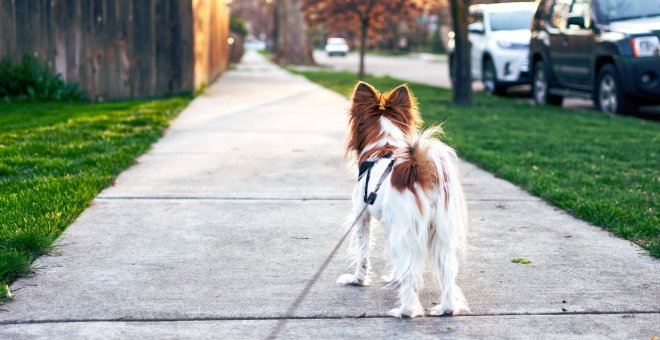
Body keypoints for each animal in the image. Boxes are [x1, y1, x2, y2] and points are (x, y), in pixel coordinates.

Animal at [338, 81, 472, 318]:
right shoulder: (395, 227)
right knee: (447, 272)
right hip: (439, 234)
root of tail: (421, 170)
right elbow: (395, 262)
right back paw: (445, 309)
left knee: (411, 274)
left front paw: (357, 280)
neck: (383, 146)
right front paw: (394, 277)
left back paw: (405, 311)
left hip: (407, 230)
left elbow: (363, 253)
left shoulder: (362, 217)